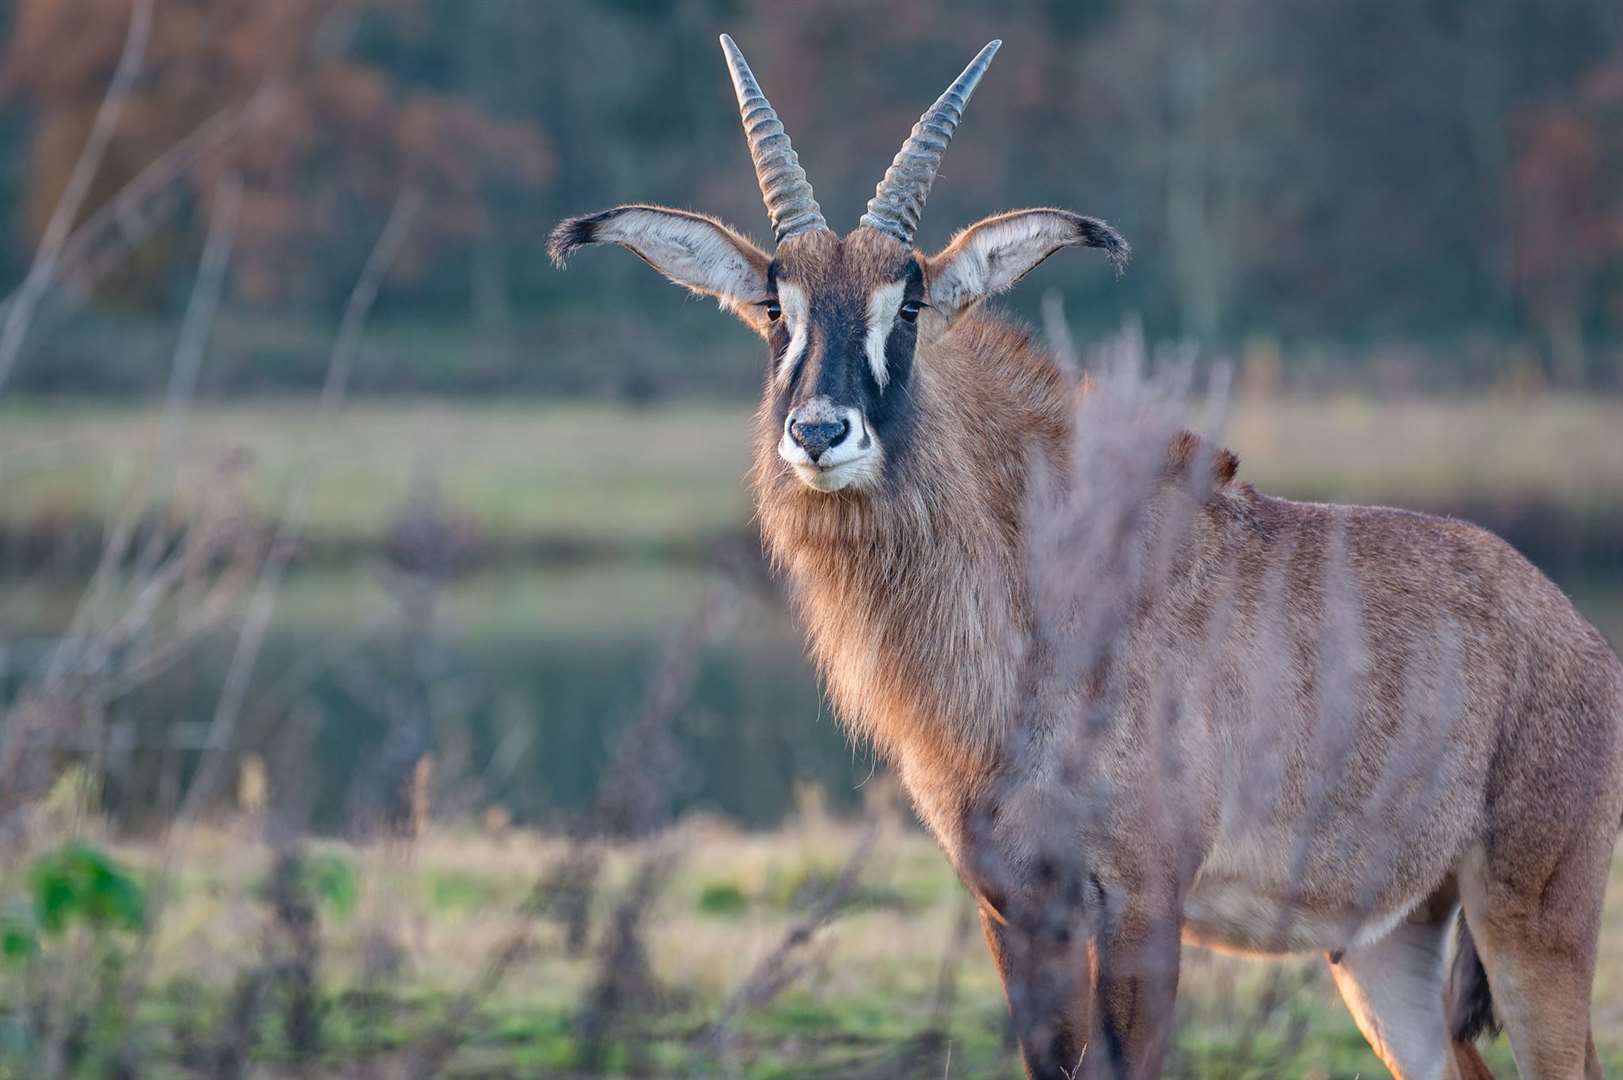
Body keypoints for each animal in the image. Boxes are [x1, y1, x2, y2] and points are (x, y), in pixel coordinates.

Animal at [555, 35, 1623, 1078]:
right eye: (777, 307)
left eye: (909, 305)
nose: (821, 433)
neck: (1036, 604)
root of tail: (1573, 632)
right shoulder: (1014, 909)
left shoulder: (1144, 901)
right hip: (1382, 944)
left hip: (1533, 916)